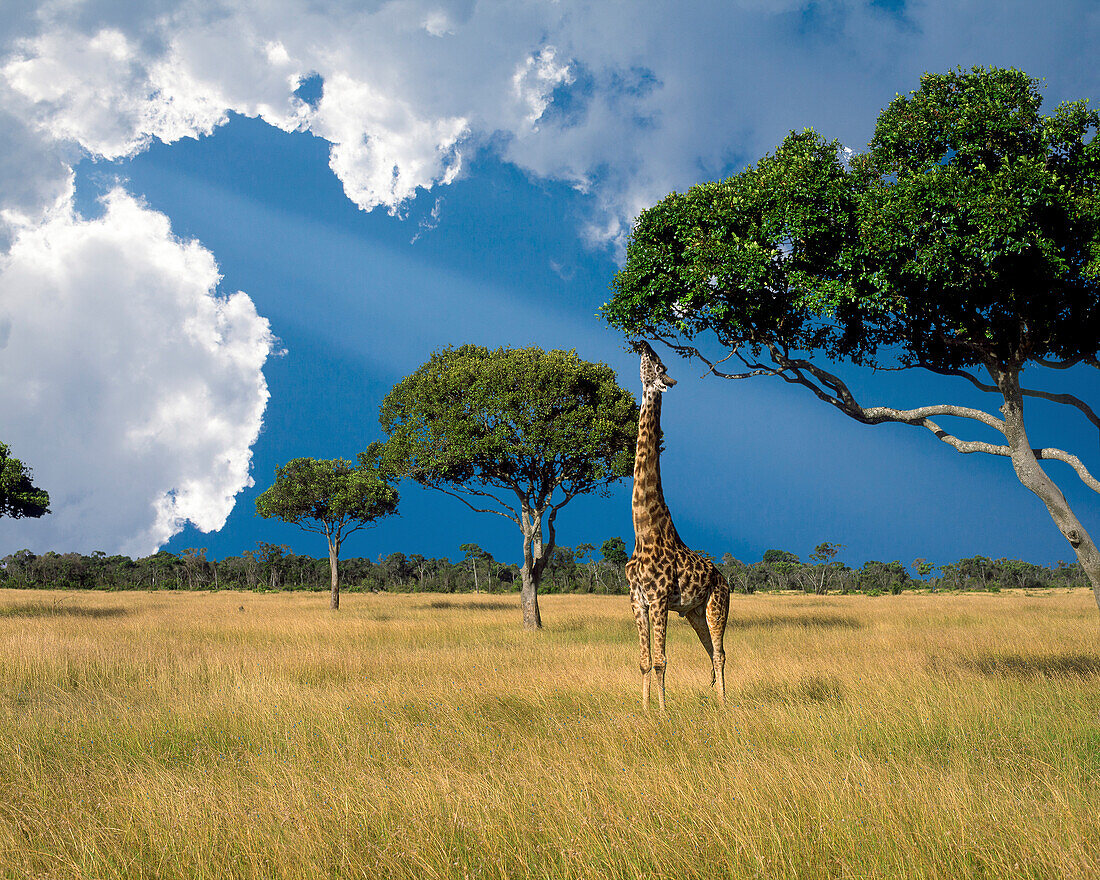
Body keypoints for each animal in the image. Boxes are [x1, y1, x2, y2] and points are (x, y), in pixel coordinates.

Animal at [629, 341, 730, 712]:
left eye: (659, 365)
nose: (643, 343)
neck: (643, 529)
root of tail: (726, 580)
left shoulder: (658, 599)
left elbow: (661, 661)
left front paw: (662, 713)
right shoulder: (637, 600)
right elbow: (644, 661)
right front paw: (644, 711)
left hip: (717, 606)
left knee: (720, 653)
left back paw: (724, 706)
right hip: (694, 613)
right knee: (713, 652)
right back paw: (717, 700)